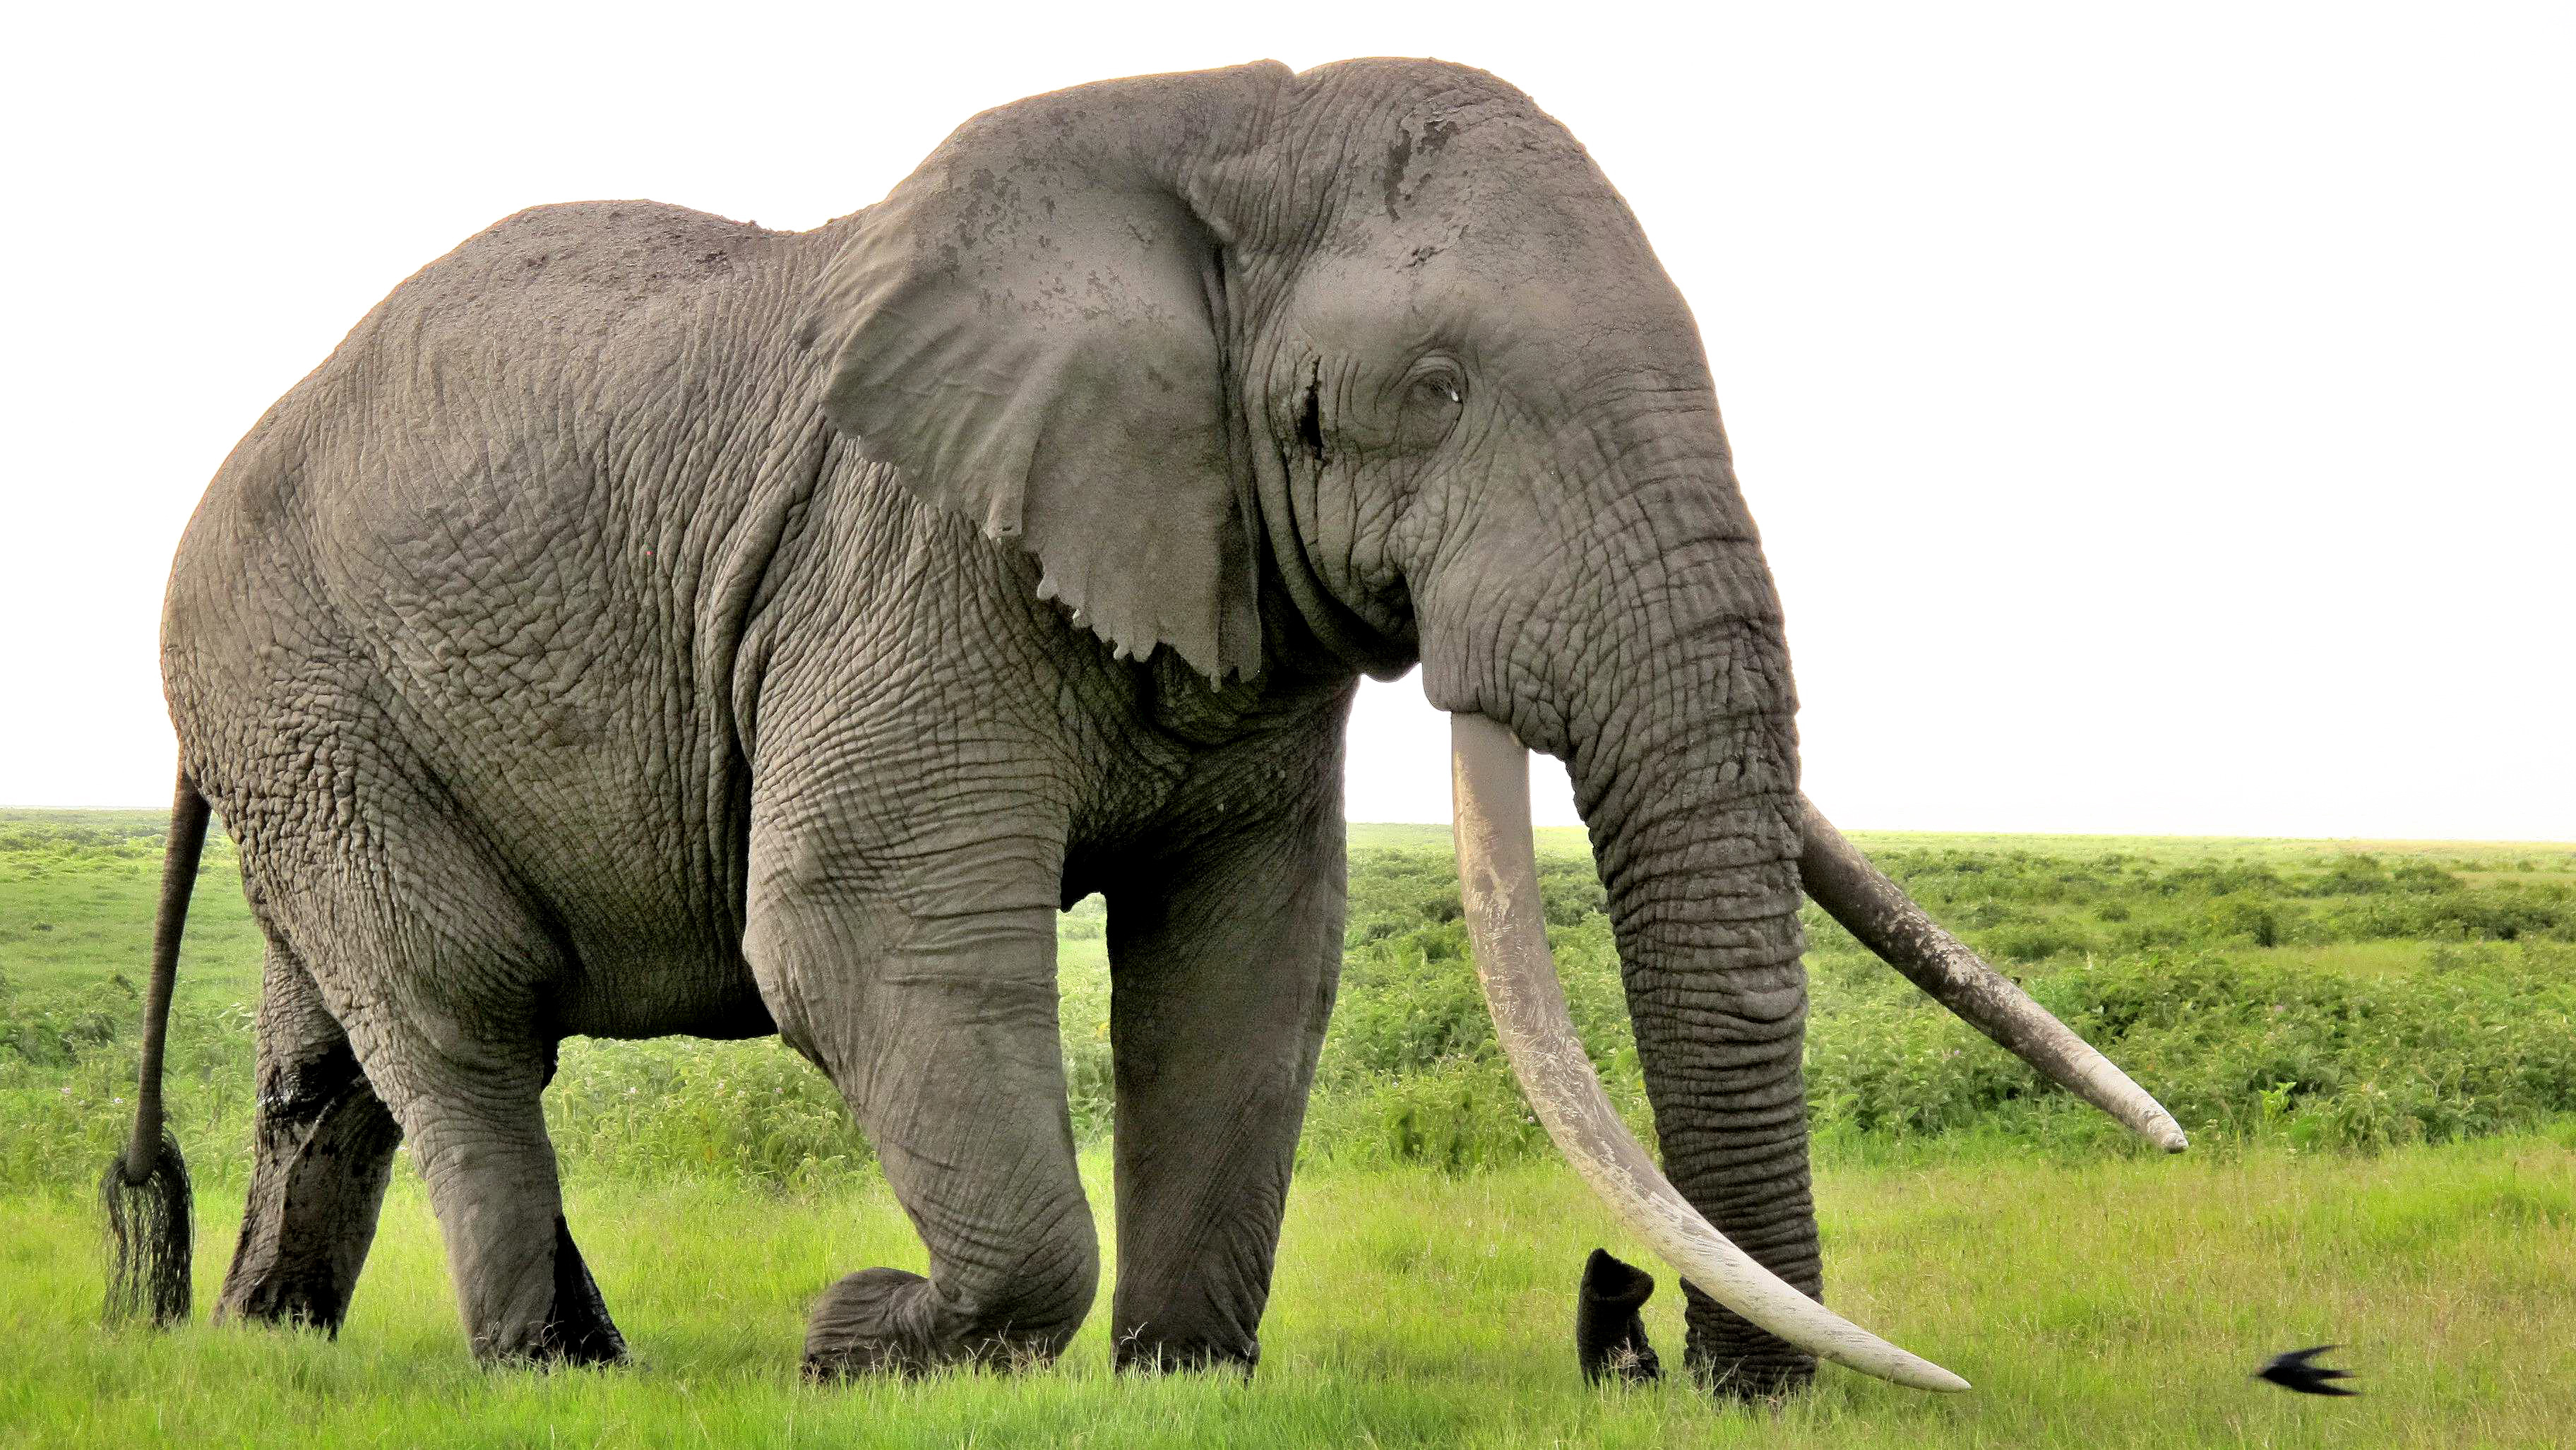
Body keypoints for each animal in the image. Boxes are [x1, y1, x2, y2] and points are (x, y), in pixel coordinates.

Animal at [103, 56, 2185, 1396]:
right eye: (1428, 393)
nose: (1655, 1340)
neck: (1221, 133)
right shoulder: (911, 550)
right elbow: (861, 931)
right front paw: (864, 1338)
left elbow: (1249, 962)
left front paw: (1182, 1376)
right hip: (300, 686)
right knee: (462, 1011)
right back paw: (550, 1367)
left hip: (317, 722)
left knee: (332, 1053)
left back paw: (279, 1342)